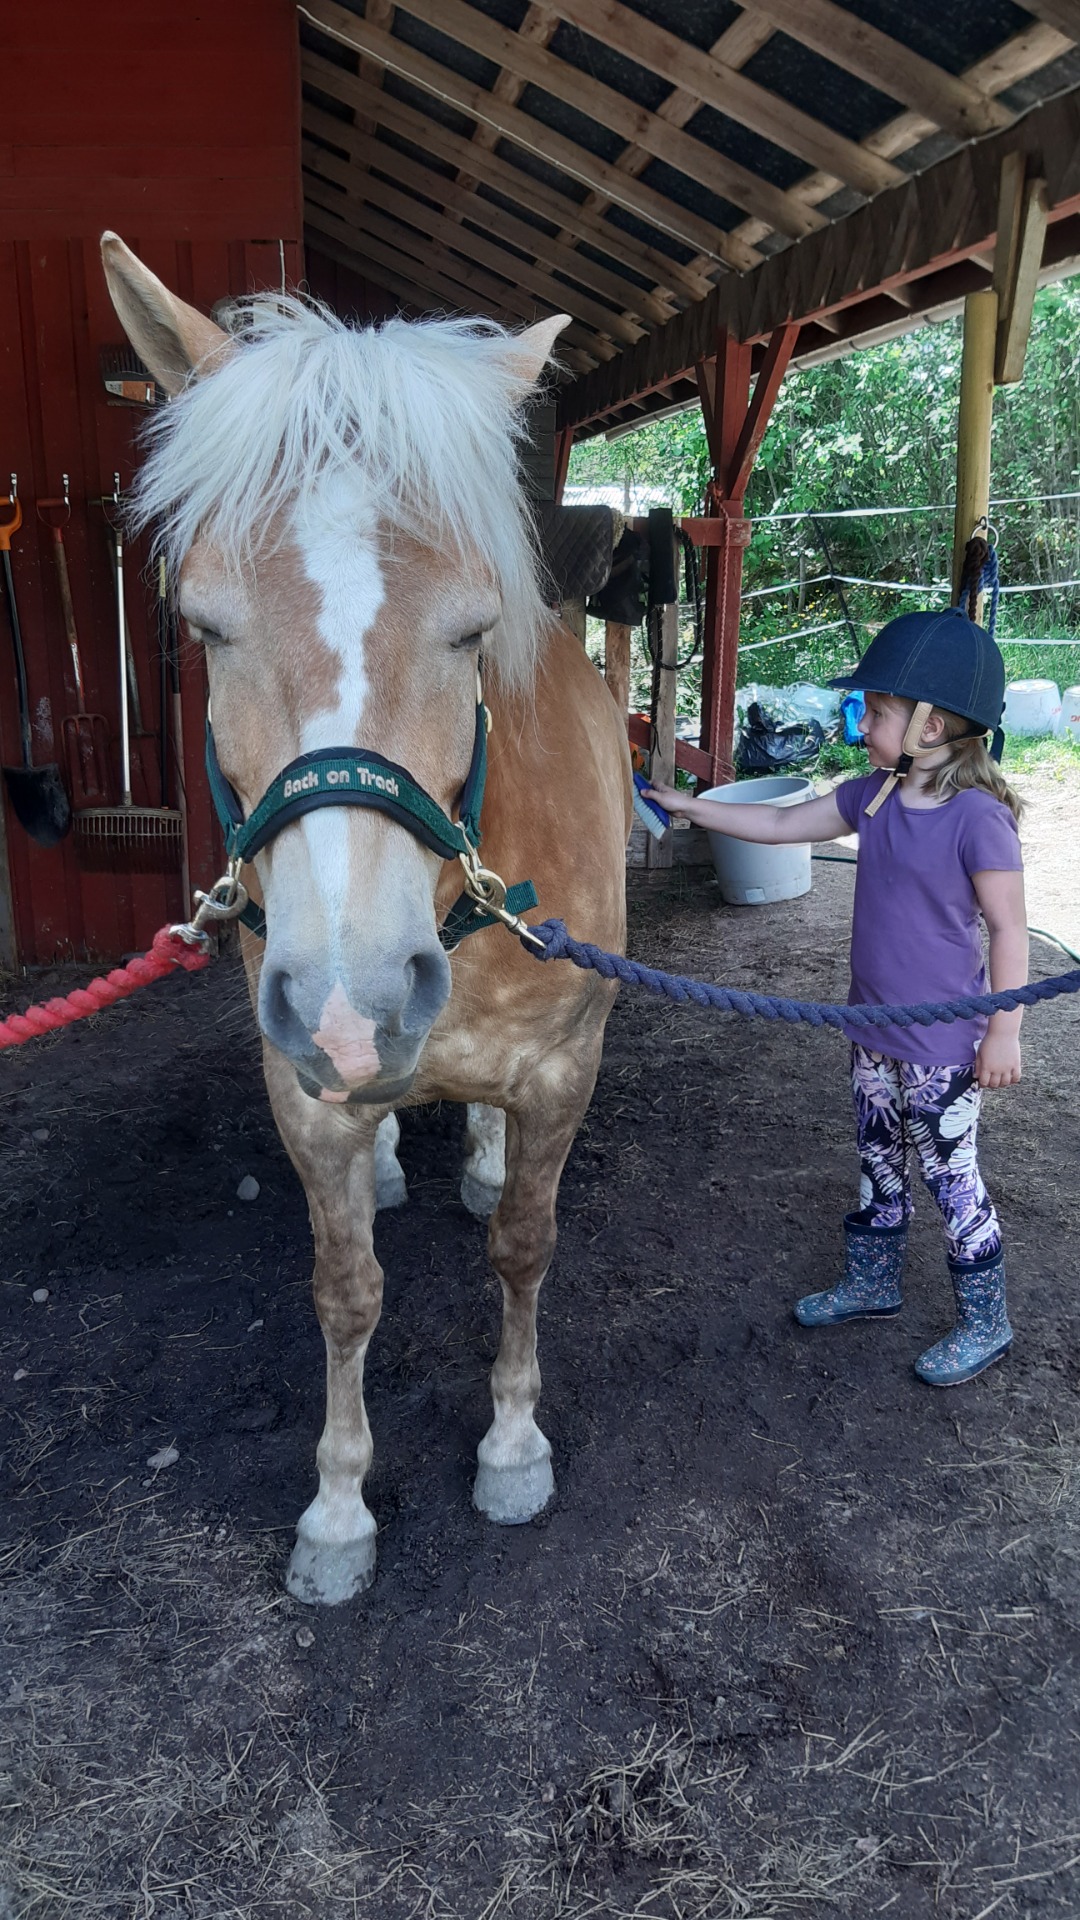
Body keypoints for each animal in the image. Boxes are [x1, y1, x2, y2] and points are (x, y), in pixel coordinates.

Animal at [101, 234, 632, 1605]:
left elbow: (522, 1246)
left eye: (474, 626)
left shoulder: (562, 1070)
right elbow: (345, 1293)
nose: (355, 1005)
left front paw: (511, 1446)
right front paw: (337, 1511)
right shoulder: (306, 1099)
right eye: (203, 625)